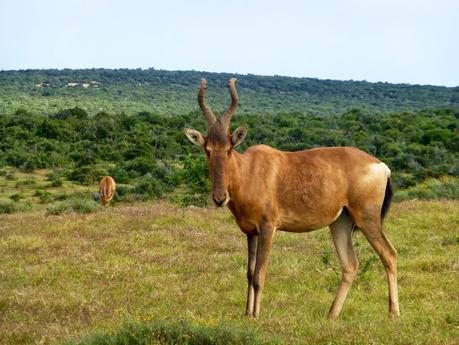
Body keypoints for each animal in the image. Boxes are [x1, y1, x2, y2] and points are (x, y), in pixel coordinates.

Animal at [183, 78, 398, 320]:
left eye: (229, 148)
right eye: (208, 150)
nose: (219, 197)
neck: (250, 169)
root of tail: (382, 166)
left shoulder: (268, 227)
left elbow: (259, 275)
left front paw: (256, 317)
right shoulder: (251, 232)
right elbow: (249, 273)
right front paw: (247, 314)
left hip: (367, 219)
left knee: (389, 254)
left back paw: (393, 313)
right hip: (340, 222)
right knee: (350, 264)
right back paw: (331, 315)